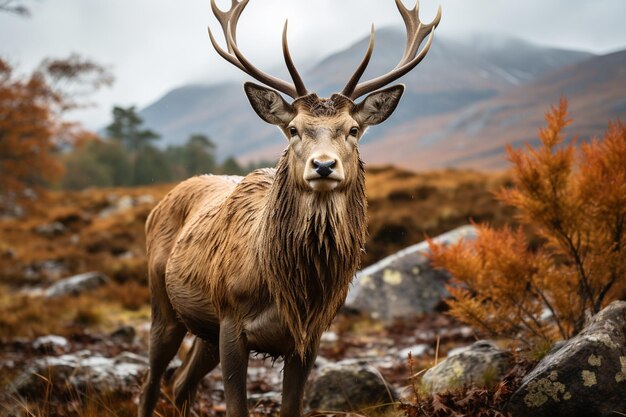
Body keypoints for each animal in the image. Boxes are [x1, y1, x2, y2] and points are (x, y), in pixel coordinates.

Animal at [136, 0, 438, 414]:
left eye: (353, 130)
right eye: (294, 128)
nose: (324, 165)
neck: (292, 288)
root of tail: (159, 204)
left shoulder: (309, 336)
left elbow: (292, 406)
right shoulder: (231, 319)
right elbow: (236, 407)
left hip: (204, 329)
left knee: (181, 383)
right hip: (162, 303)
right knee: (150, 383)